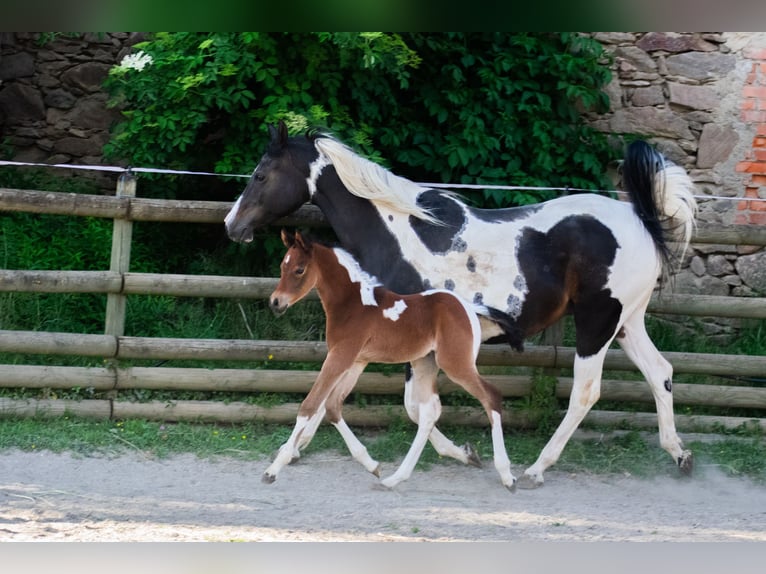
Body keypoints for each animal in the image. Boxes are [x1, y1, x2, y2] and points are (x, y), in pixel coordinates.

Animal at [264, 229, 518, 491]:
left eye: (299, 269)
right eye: (283, 267)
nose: (275, 302)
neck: (353, 304)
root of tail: (468, 308)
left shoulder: (340, 356)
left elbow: (311, 405)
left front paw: (273, 470)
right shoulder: (356, 361)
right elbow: (332, 406)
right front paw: (371, 464)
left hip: (456, 364)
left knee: (491, 396)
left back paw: (506, 474)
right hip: (425, 363)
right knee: (429, 413)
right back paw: (398, 477)